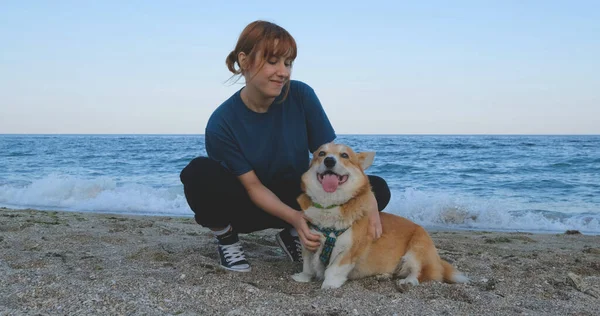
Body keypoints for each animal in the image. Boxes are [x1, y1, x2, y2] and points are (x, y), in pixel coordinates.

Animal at [290, 143, 468, 288]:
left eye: (344, 155)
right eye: (321, 153)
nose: (329, 161)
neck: (329, 205)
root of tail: (438, 261)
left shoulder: (348, 251)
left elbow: (334, 270)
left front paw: (329, 284)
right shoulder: (309, 242)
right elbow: (307, 265)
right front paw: (303, 277)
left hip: (417, 249)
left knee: (419, 272)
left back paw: (408, 281)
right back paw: (384, 275)